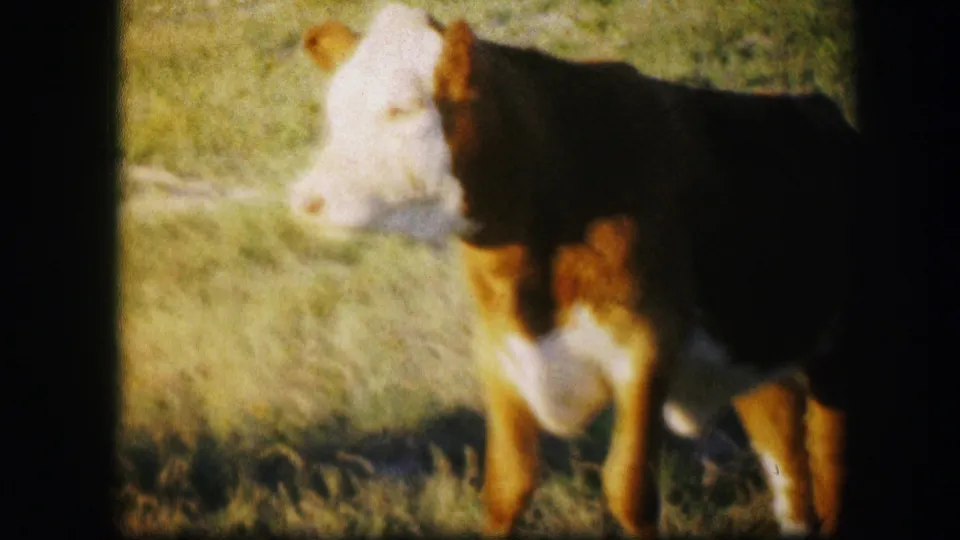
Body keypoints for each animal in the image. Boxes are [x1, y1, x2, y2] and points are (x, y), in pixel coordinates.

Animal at [288, 4, 859, 538]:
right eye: (335, 112)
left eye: (401, 109)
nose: (305, 199)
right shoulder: (500, 351)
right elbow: (507, 485)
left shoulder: (645, 344)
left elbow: (628, 488)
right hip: (757, 356)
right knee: (787, 458)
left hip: (836, 357)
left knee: (831, 463)